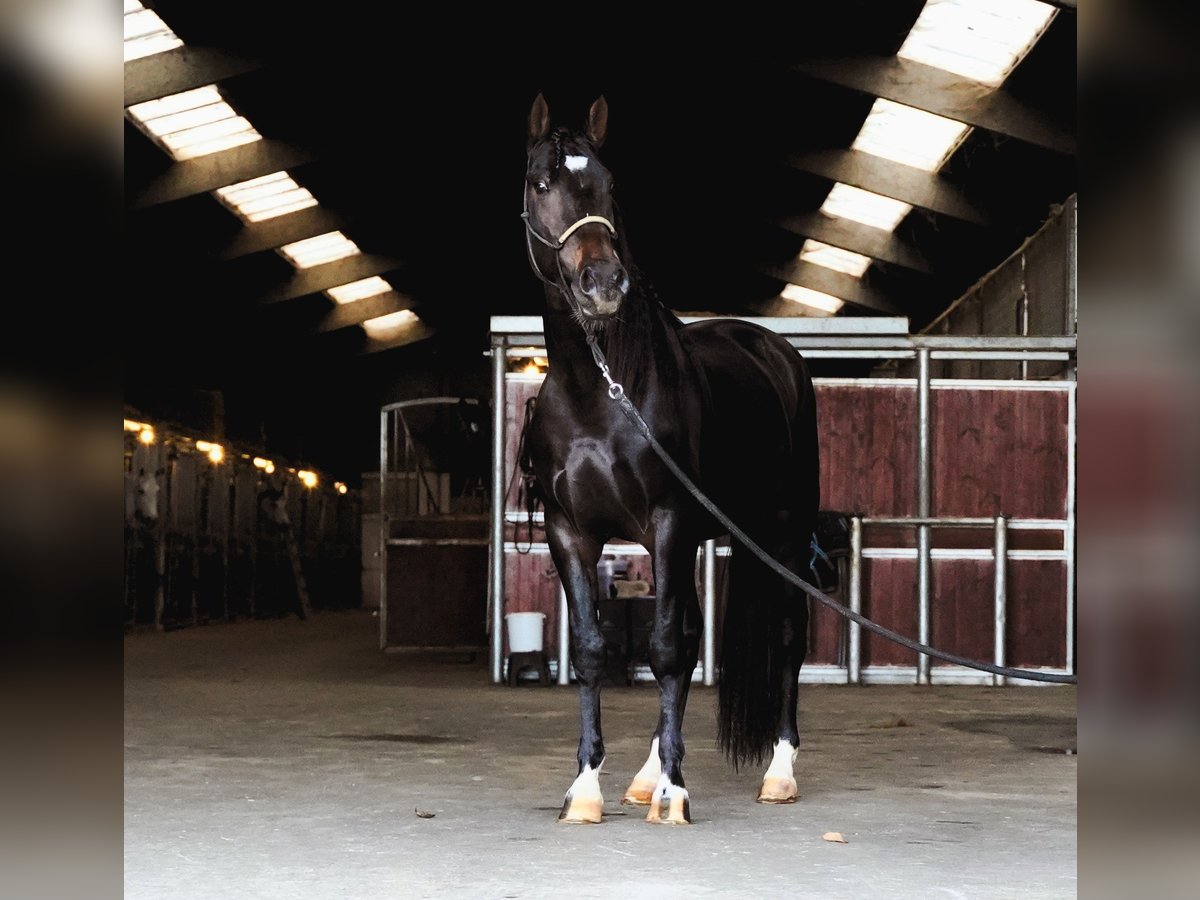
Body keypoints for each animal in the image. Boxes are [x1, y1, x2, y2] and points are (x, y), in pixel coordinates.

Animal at [520, 95, 820, 830]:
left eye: (609, 184)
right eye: (541, 183)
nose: (602, 283)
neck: (599, 389)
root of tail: (774, 351)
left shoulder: (667, 522)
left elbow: (662, 648)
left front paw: (677, 792)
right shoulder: (572, 532)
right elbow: (597, 649)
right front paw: (588, 789)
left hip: (781, 534)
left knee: (786, 640)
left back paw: (778, 774)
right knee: (688, 638)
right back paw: (645, 774)